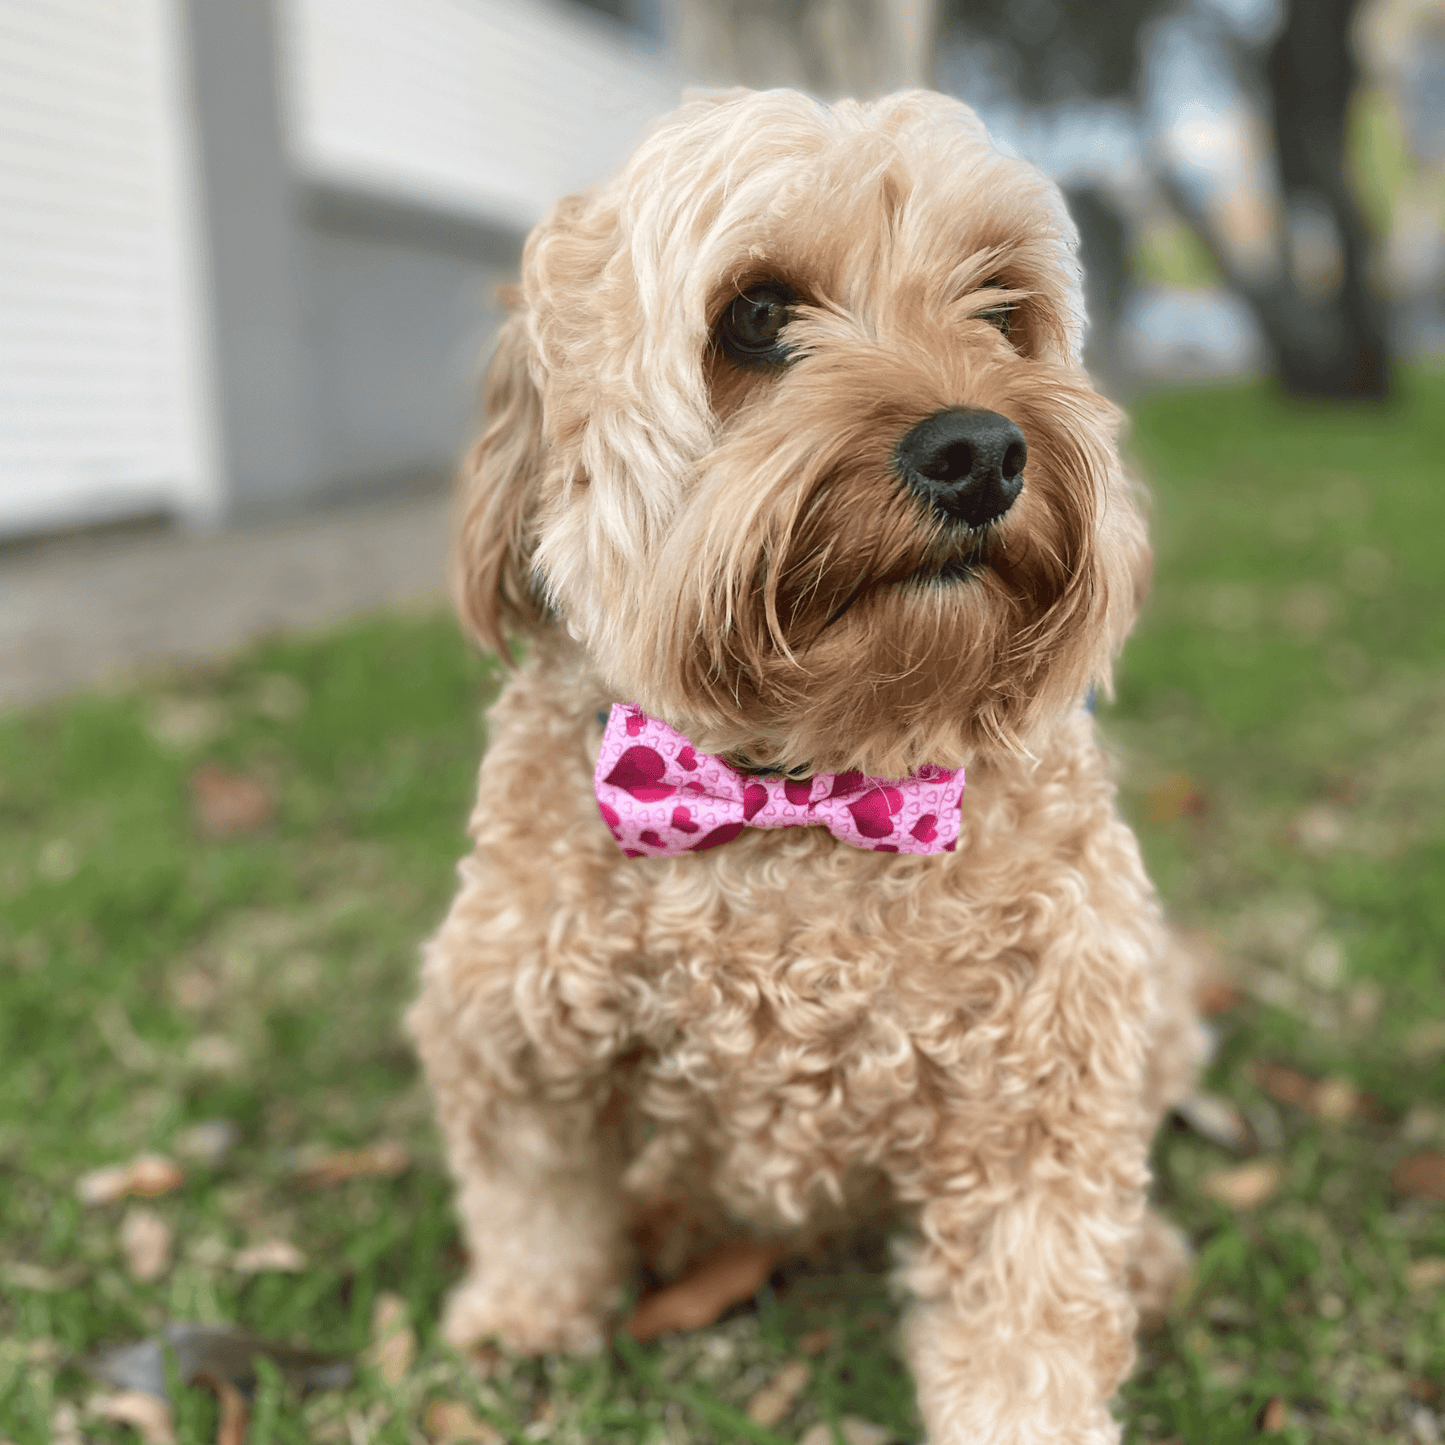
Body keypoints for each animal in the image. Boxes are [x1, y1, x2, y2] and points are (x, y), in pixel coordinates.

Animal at [410, 90, 1208, 1445]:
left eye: (1002, 307)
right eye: (755, 313)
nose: (981, 450)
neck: (807, 783)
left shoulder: (1041, 1079)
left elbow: (1029, 1317)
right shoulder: (510, 1028)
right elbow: (534, 1197)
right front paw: (524, 1315)